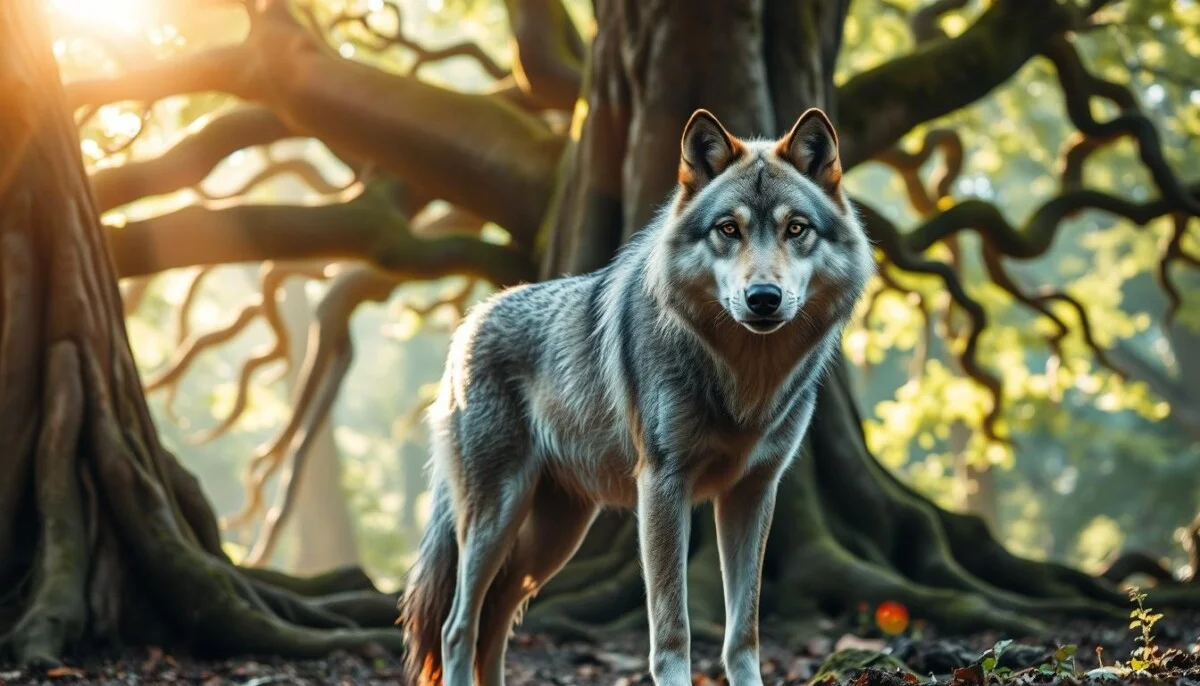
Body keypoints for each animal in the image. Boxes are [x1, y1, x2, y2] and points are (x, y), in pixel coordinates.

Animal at [399, 107, 875, 686]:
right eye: (728, 229)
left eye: (796, 228)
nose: (763, 298)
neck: (744, 381)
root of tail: (470, 322)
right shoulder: (663, 487)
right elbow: (673, 631)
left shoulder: (754, 491)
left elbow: (744, 632)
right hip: (496, 518)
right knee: (457, 626)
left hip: (554, 538)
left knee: (495, 621)